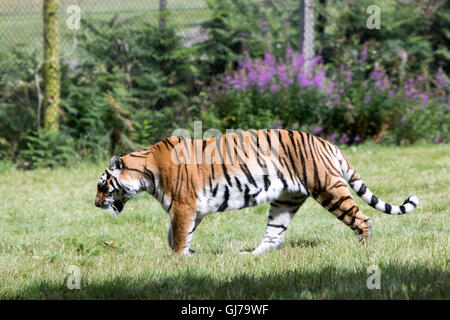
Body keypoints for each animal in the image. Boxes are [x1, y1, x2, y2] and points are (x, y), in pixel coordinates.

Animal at [94, 129, 418, 255]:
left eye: (102, 185)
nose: (96, 205)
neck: (147, 173)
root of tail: (325, 141)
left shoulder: (183, 207)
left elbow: (177, 236)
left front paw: (179, 260)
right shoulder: (192, 209)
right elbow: (176, 235)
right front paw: (189, 254)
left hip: (328, 188)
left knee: (362, 219)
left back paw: (364, 249)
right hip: (285, 200)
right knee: (275, 234)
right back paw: (251, 256)